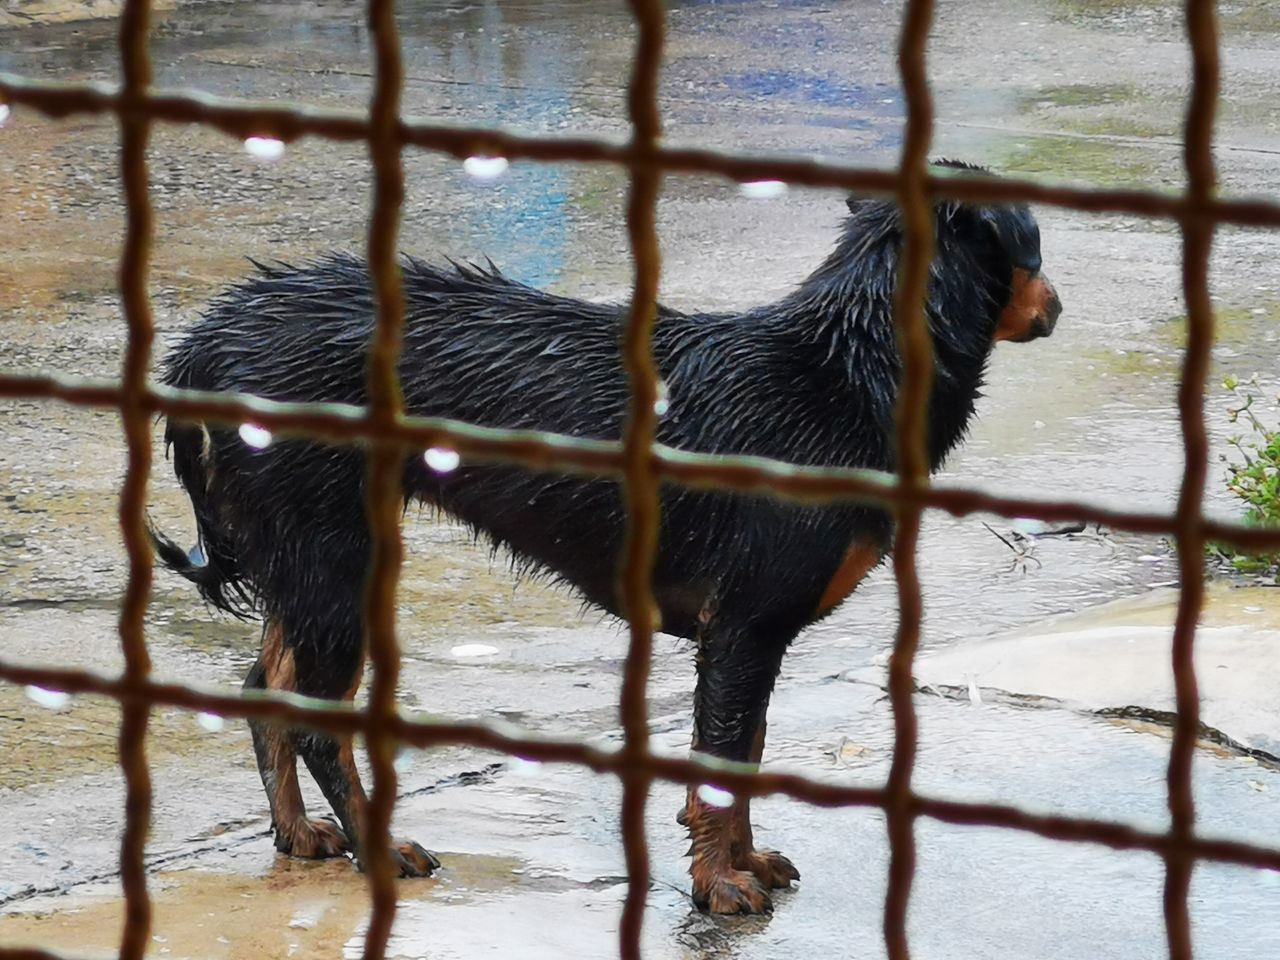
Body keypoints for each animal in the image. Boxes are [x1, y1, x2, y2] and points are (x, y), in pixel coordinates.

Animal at [149, 160, 1059, 916]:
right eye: (1035, 247)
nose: (1057, 304)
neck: (846, 369)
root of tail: (207, 342)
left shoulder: (750, 638)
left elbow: (743, 759)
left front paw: (742, 861)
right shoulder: (745, 629)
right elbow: (721, 770)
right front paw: (720, 883)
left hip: (313, 555)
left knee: (267, 688)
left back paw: (298, 835)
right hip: (335, 559)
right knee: (316, 723)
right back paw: (379, 847)